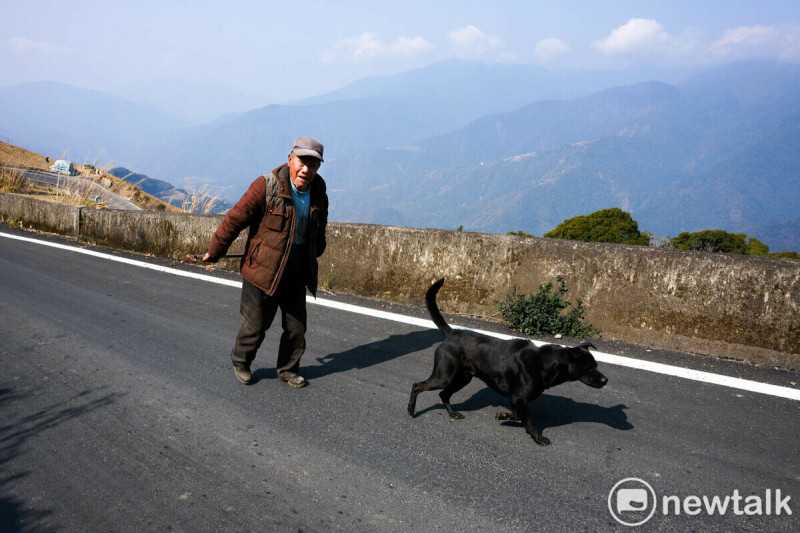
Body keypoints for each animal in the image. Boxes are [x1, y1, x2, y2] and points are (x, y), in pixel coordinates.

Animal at [406, 276, 608, 442]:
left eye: (596, 364)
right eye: (589, 367)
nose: (606, 380)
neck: (545, 363)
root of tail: (451, 333)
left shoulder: (514, 398)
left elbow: (518, 416)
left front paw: (504, 416)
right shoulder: (519, 399)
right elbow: (526, 420)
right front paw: (537, 437)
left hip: (463, 378)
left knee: (443, 394)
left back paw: (453, 413)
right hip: (445, 375)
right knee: (418, 385)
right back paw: (411, 409)